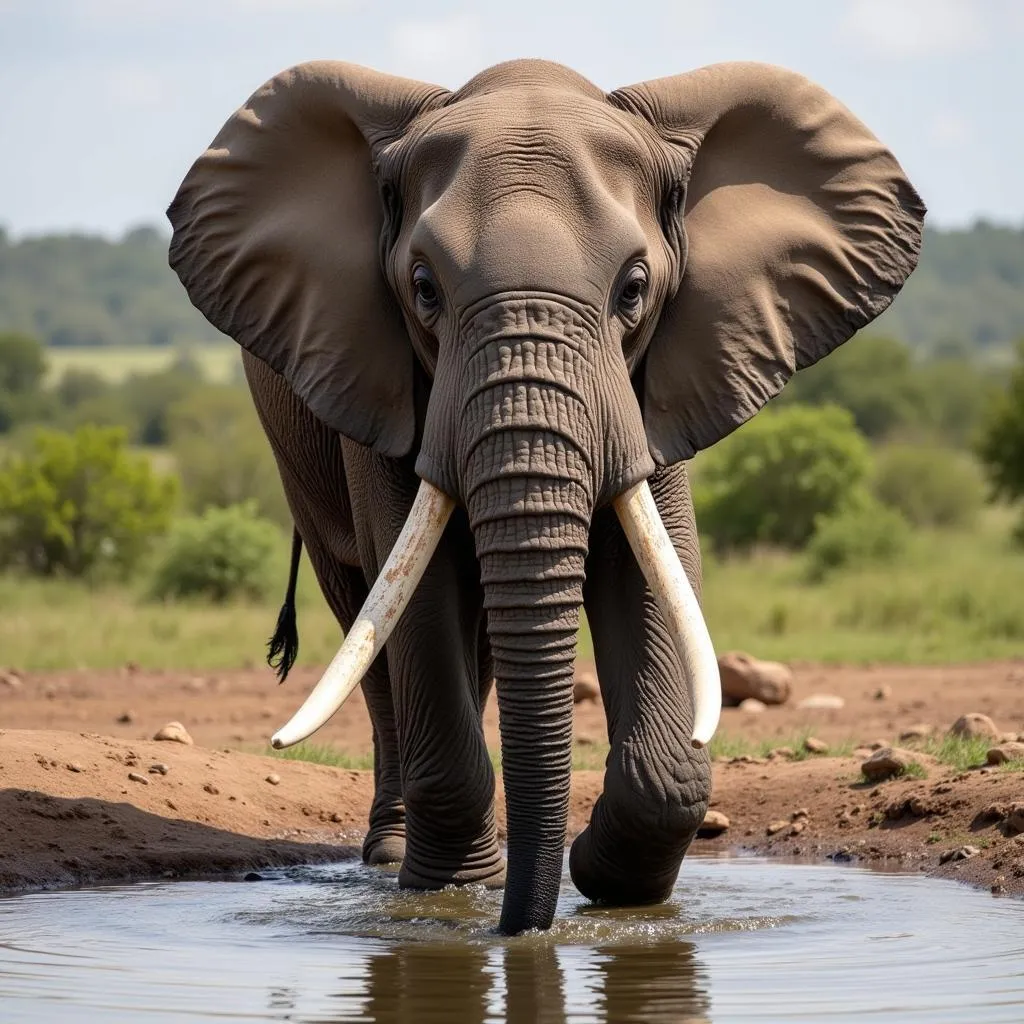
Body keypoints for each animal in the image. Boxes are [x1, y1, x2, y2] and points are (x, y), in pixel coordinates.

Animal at [163, 56, 925, 937]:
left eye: (634, 290)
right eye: (423, 288)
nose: (526, 929)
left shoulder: (656, 384)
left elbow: (654, 570)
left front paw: (607, 882)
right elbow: (418, 596)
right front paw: (453, 892)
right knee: (368, 619)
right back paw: (398, 859)